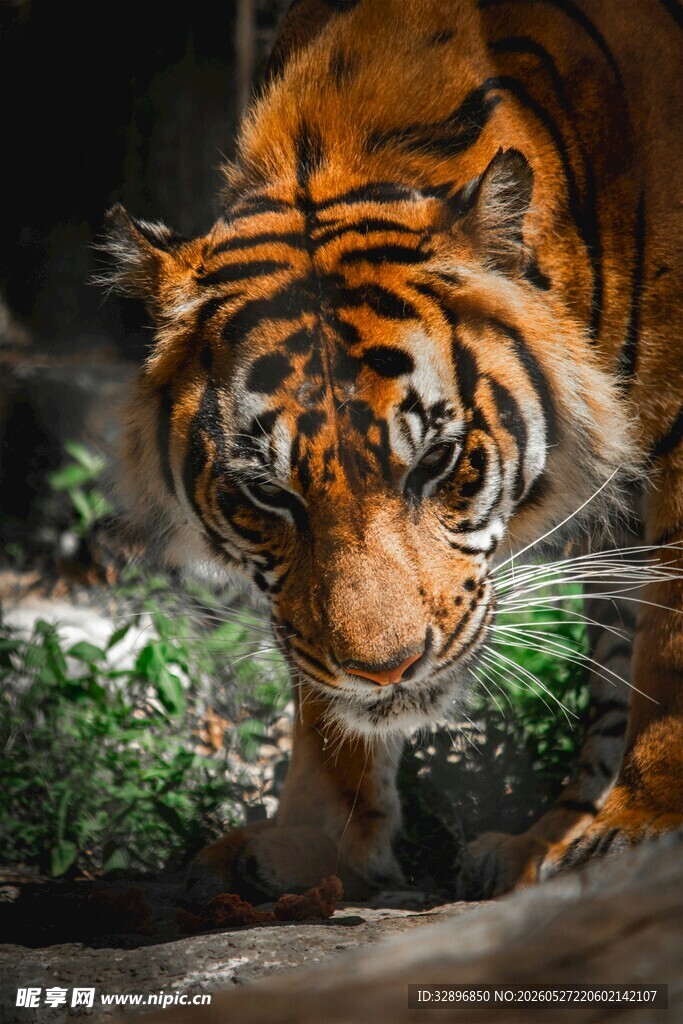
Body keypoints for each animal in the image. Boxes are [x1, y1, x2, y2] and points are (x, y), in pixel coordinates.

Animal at [103, 0, 683, 900]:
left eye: (437, 464)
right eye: (268, 495)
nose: (385, 674)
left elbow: (669, 651)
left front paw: (642, 829)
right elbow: (313, 683)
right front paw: (311, 840)